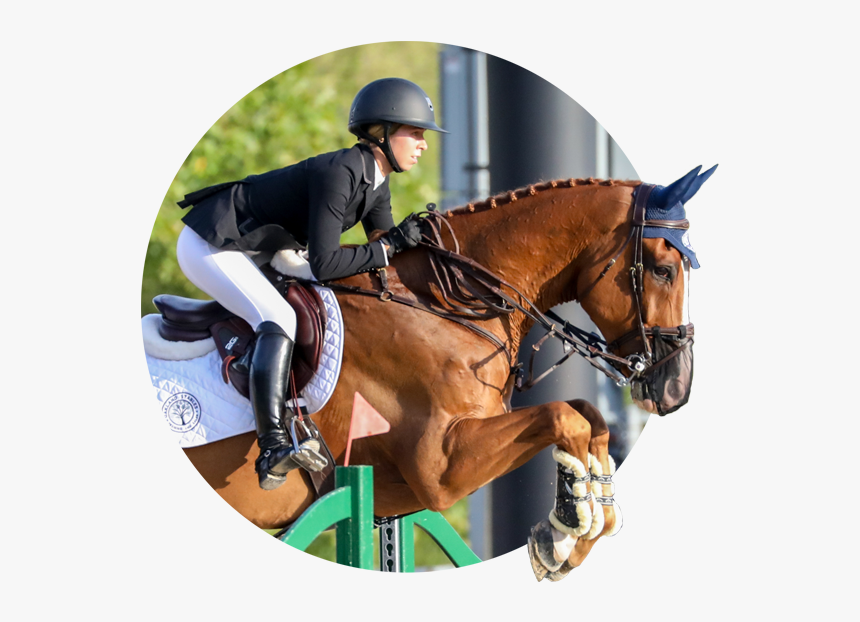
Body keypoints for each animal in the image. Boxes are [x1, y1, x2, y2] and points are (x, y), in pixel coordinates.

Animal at [165, 166, 713, 579]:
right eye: (663, 269)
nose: (676, 388)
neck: (441, 303)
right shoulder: (439, 466)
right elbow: (565, 417)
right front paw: (565, 529)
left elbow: (589, 418)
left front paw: (574, 528)